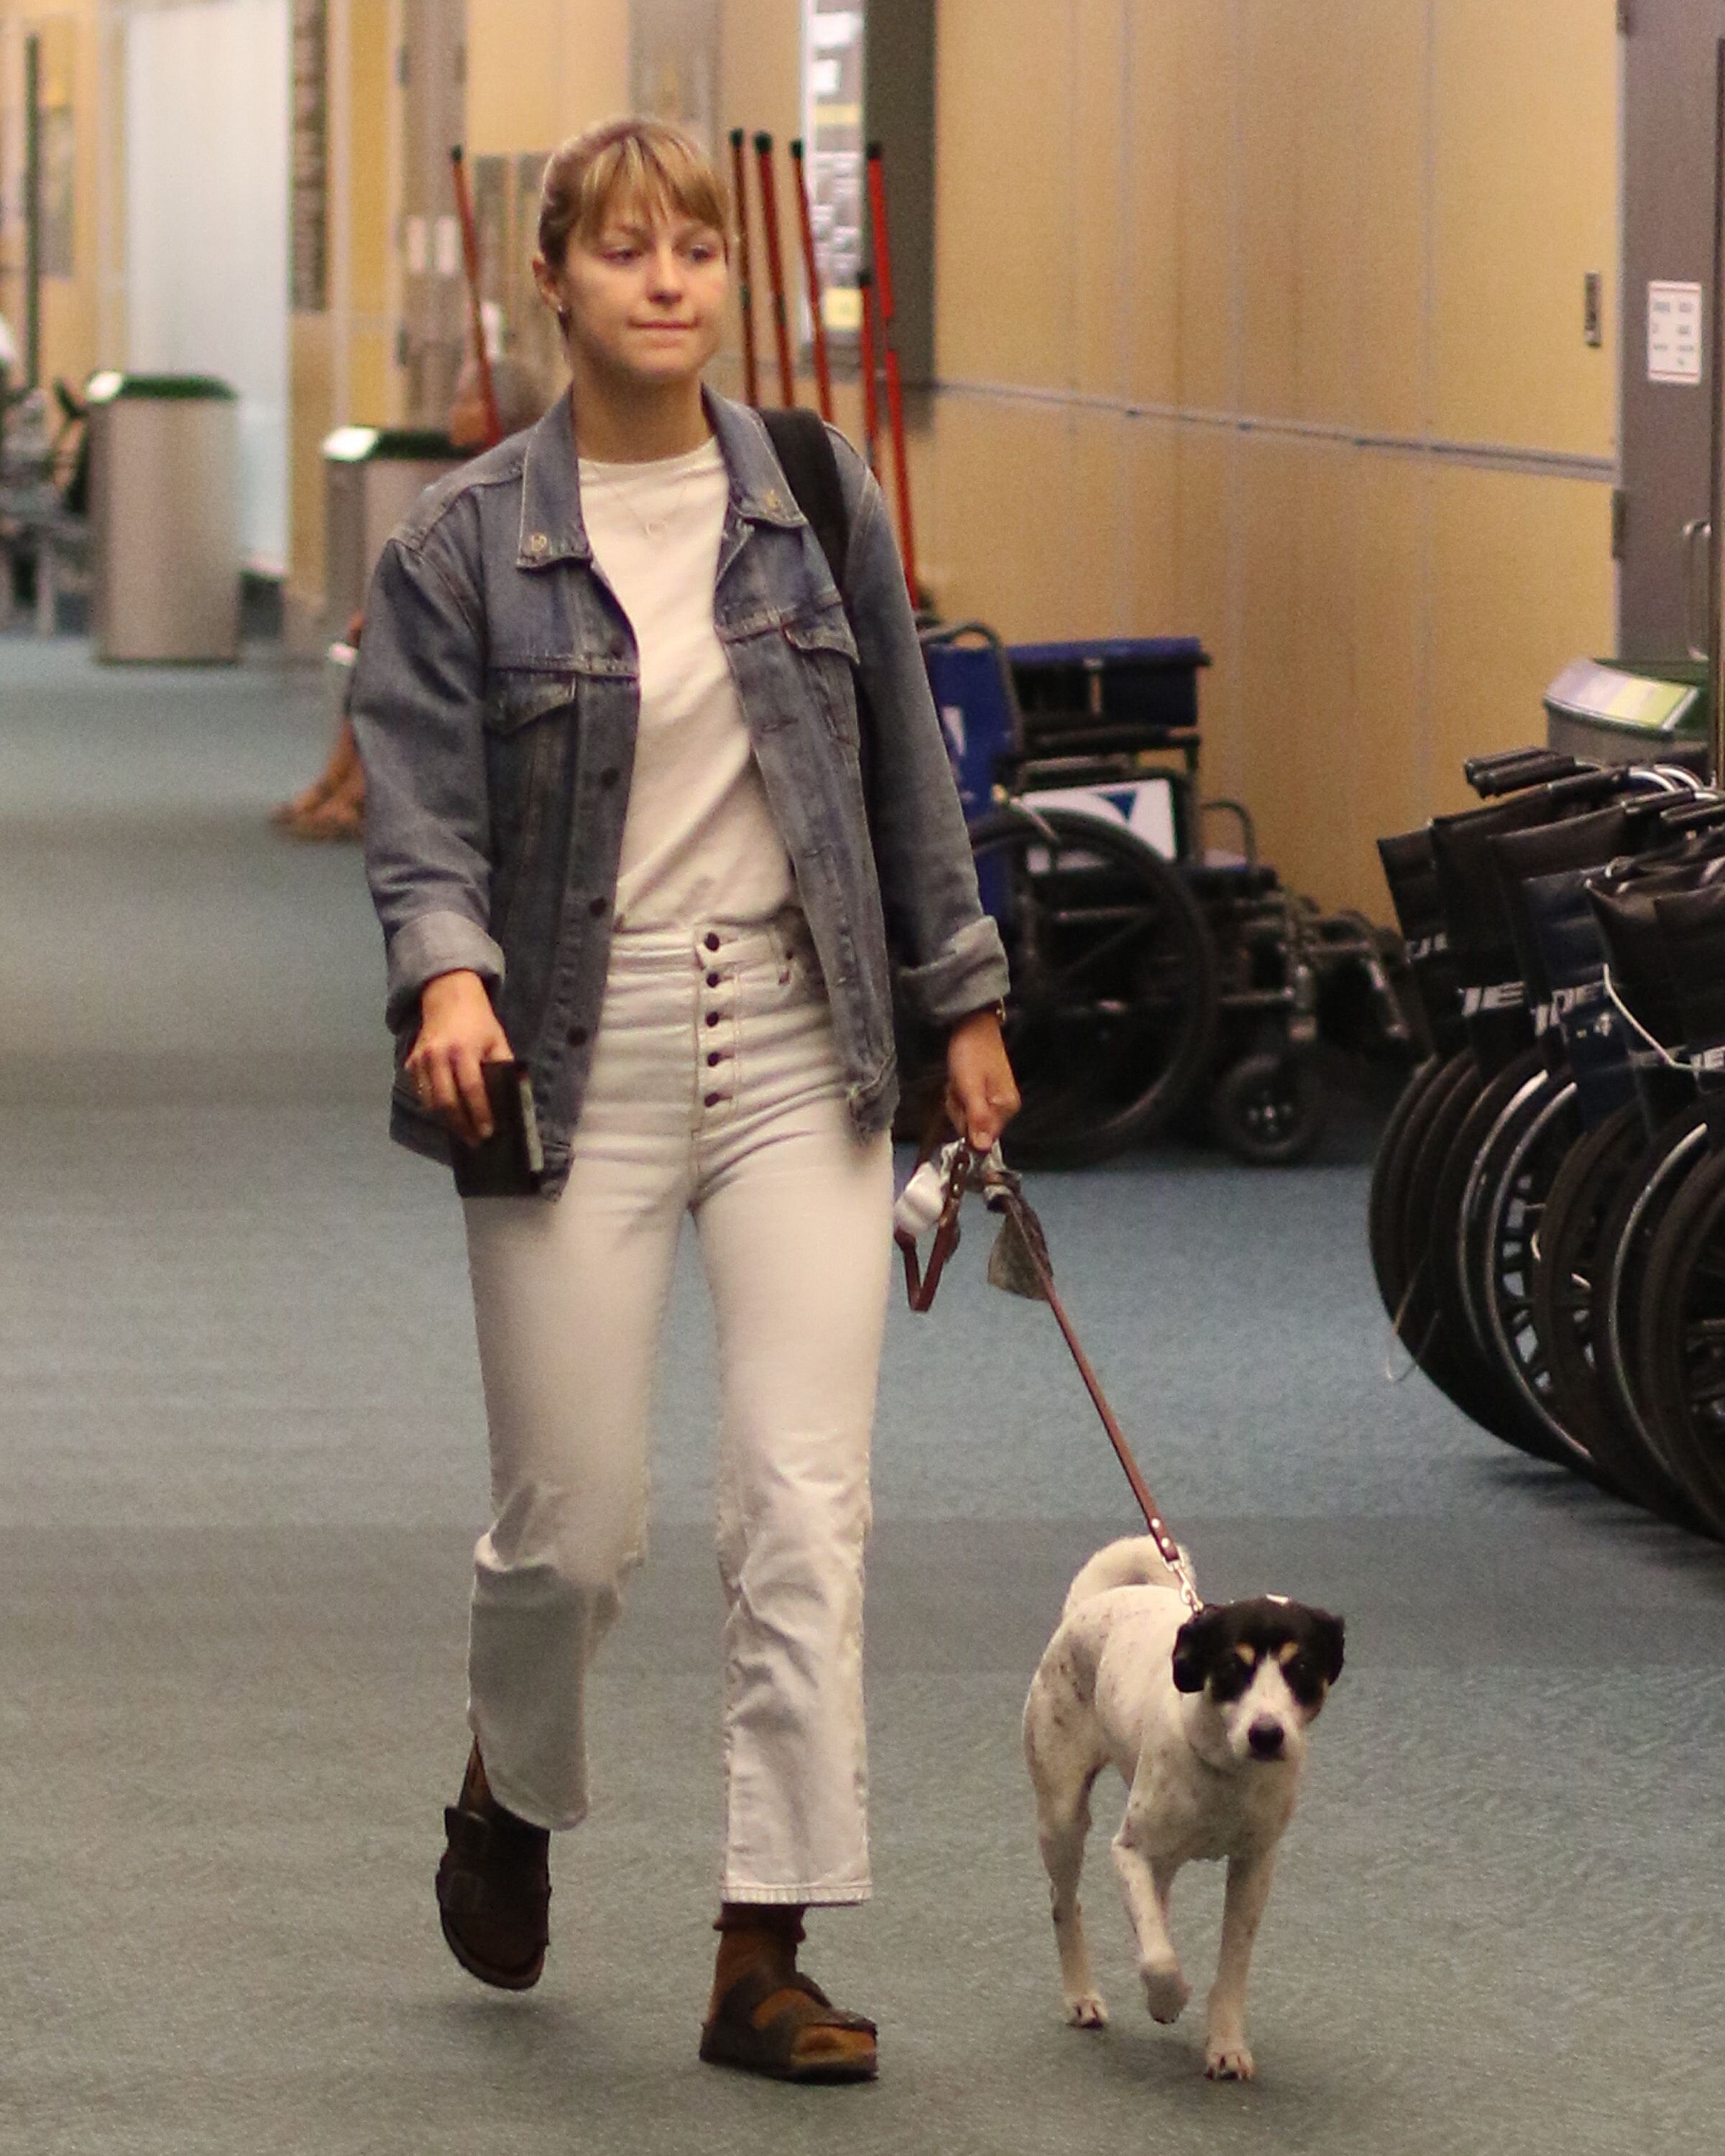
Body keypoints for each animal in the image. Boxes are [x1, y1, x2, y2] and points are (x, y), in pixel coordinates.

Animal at [1022, 1537, 1345, 2080]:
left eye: (1300, 1669)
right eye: (1233, 1668)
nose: (1266, 1734)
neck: (1226, 1768)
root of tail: (1087, 1607)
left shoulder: (1255, 1865)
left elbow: (1232, 1964)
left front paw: (1226, 2044)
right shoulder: (1129, 1851)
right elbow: (1158, 1958)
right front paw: (1168, 1999)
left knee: (1154, 1905)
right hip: (1062, 1815)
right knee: (1066, 1905)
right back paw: (1082, 1997)